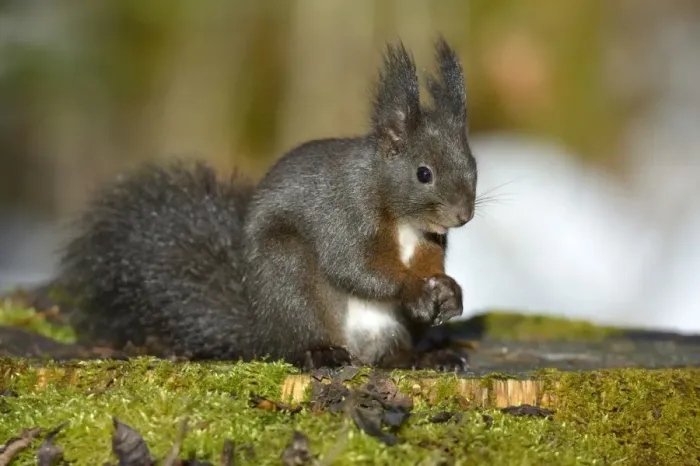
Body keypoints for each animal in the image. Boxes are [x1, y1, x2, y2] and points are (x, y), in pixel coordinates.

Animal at [58, 36, 478, 372]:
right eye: (423, 173)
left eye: (472, 164)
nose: (463, 216)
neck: (403, 218)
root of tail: (262, 329)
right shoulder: (346, 214)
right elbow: (353, 267)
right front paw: (415, 290)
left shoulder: (427, 241)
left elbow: (428, 264)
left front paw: (449, 291)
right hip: (289, 276)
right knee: (300, 340)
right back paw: (322, 354)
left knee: (388, 355)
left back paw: (425, 357)